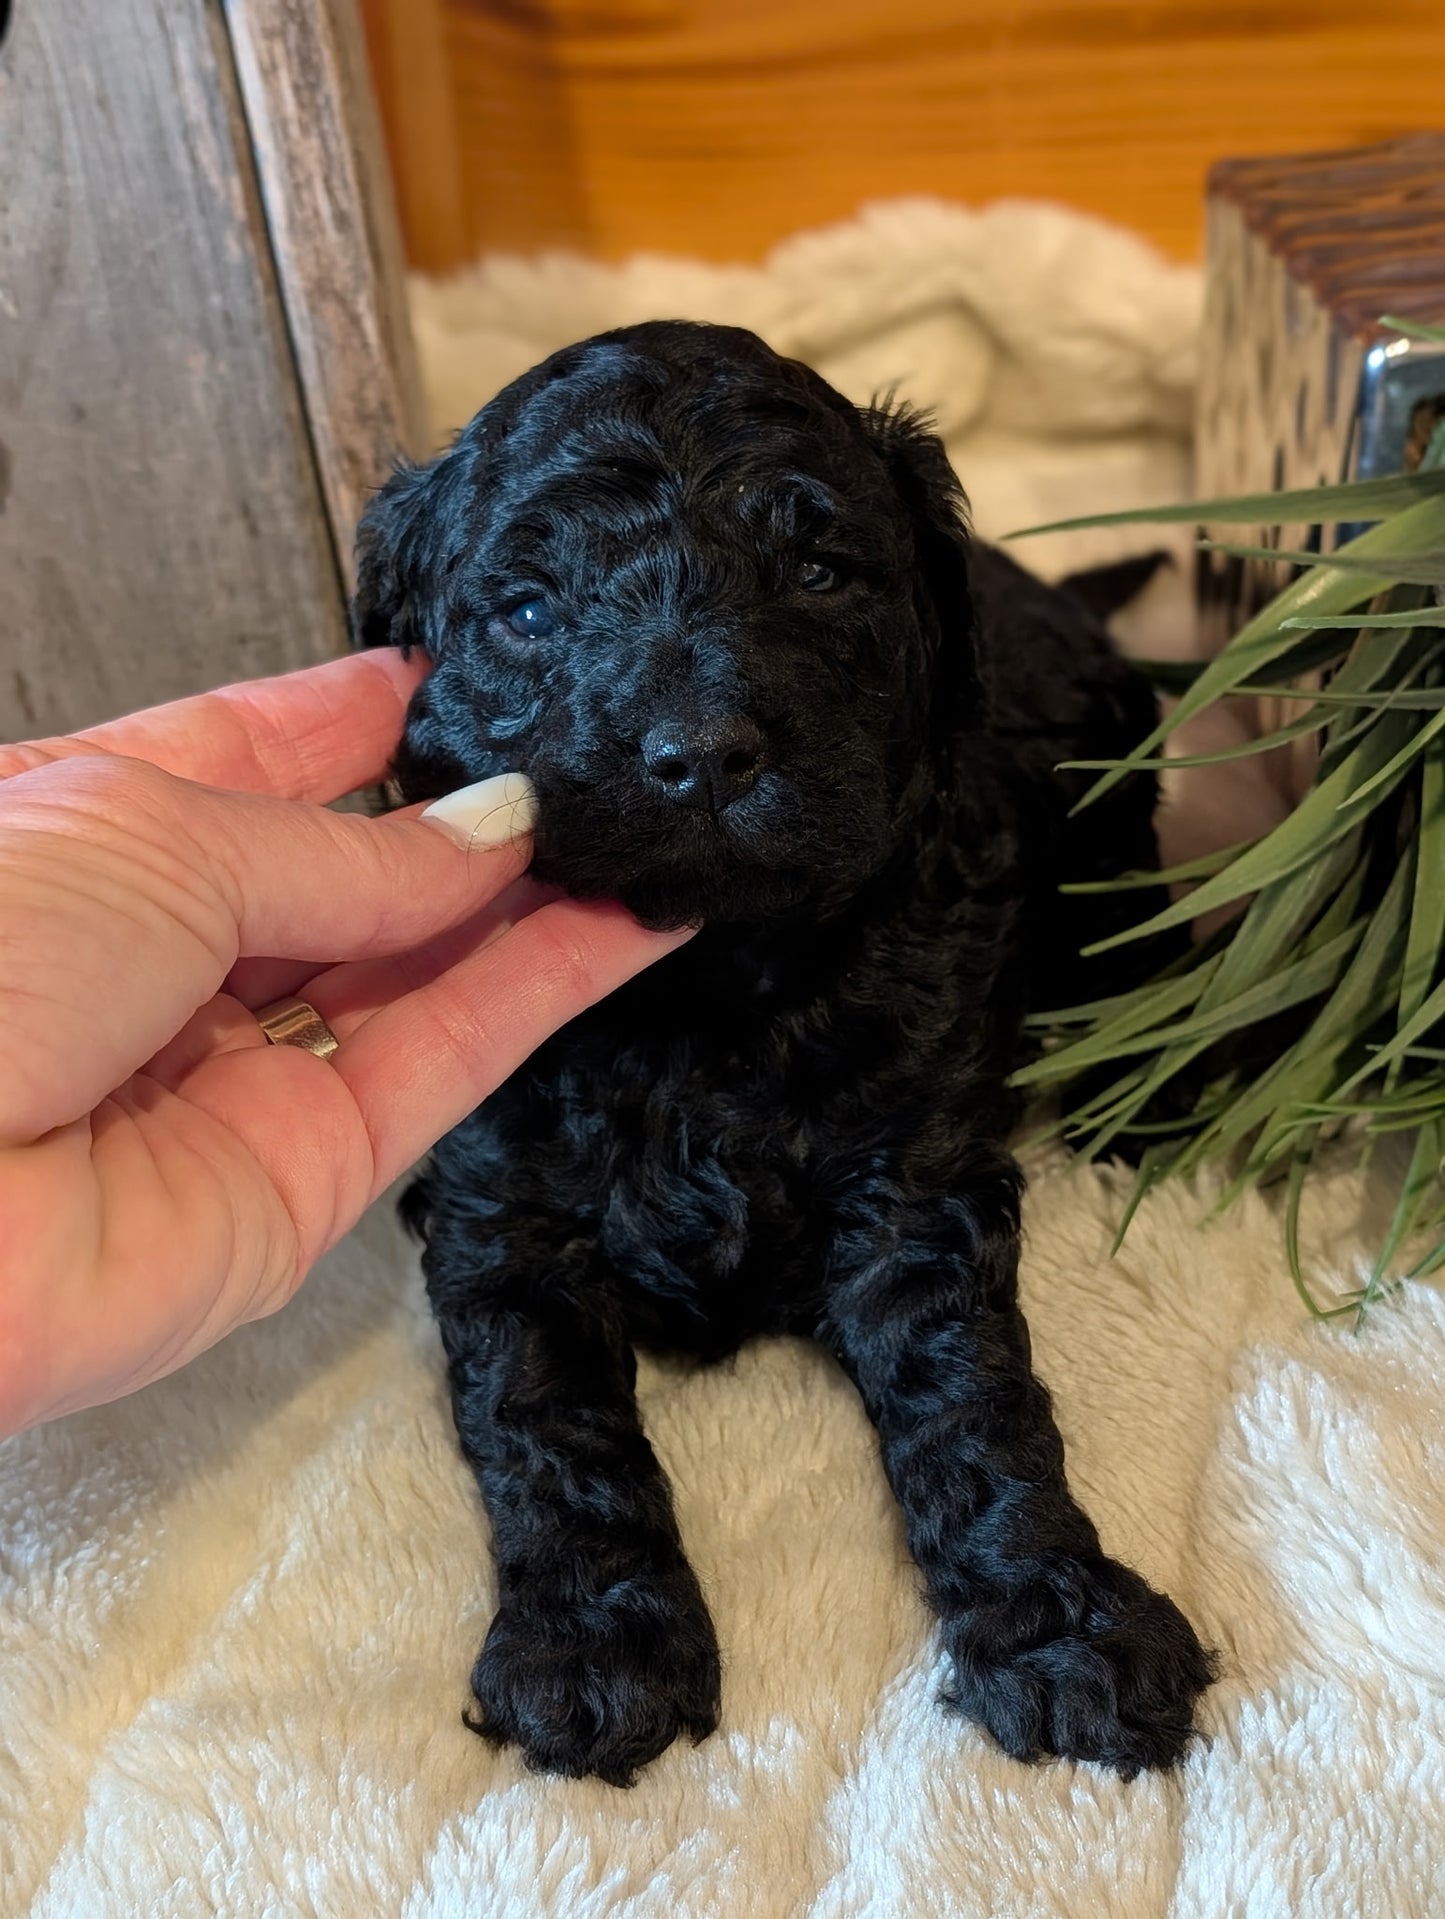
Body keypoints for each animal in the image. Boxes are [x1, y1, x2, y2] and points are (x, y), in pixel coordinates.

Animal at [355, 326, 1212, 1780]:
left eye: (818, 572)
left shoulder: (910, 1186)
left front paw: (1065, 1626)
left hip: (1107, 767)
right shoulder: (496, 1206)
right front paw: (592, 1643)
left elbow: (972, 1403)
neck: (704, 992)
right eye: (526, 611)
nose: (702, 752)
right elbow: (545, 1412)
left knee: (1128, 899)